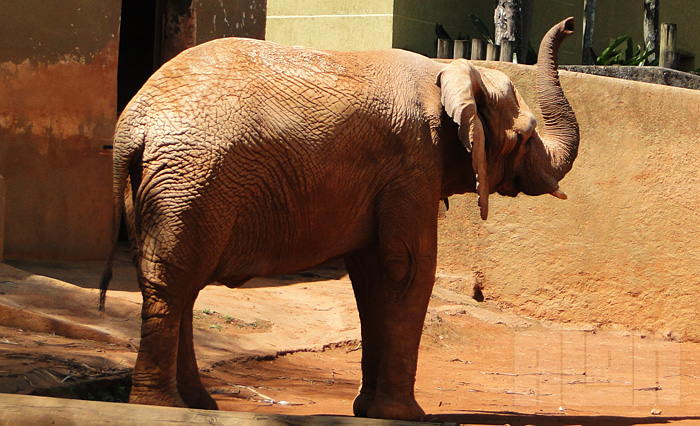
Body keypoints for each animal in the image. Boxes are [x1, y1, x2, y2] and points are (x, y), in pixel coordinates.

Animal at [100, 17, 580, 422]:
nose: (572, 24)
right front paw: (405, 416)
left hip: (161, 187)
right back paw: (161, 407)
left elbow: (371, 275)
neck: (447, 71)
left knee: (175, 281)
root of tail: (131, 125)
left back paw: (198, 405)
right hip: (190, 181)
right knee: (174, 281)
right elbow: (409, 268)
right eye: (526, 136)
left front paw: (368, 411)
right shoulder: (413, 163)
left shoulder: (387, 178)